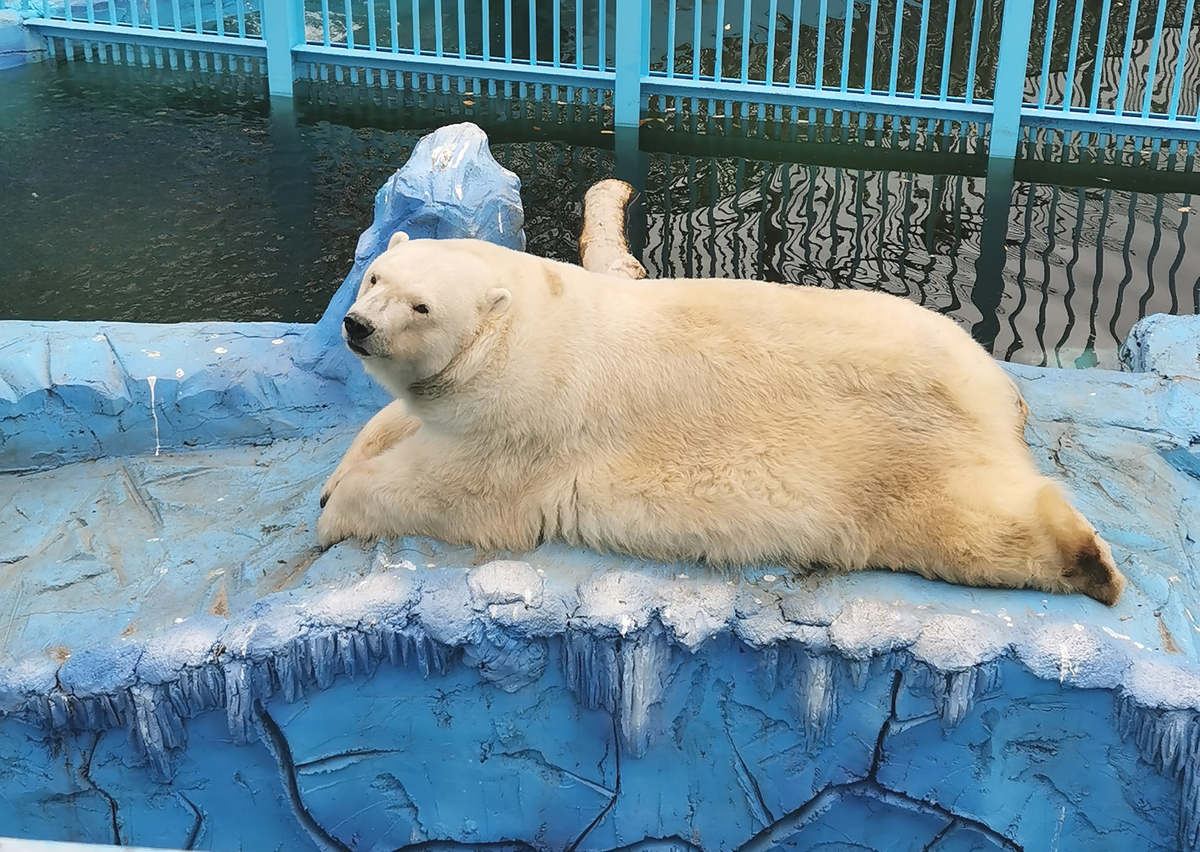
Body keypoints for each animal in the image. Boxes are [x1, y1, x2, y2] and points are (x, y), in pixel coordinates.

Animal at [316, 234, 1123, 607]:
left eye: (422, 306)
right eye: (375, 277)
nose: (357, 326)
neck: (529, 326)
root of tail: (996, 390)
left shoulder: (522, 424)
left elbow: (449, 492)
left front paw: (332, 511)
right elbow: (397, 422)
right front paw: (341, 469)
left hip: (900, 455)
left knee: (974, 525)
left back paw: (1095, 568)